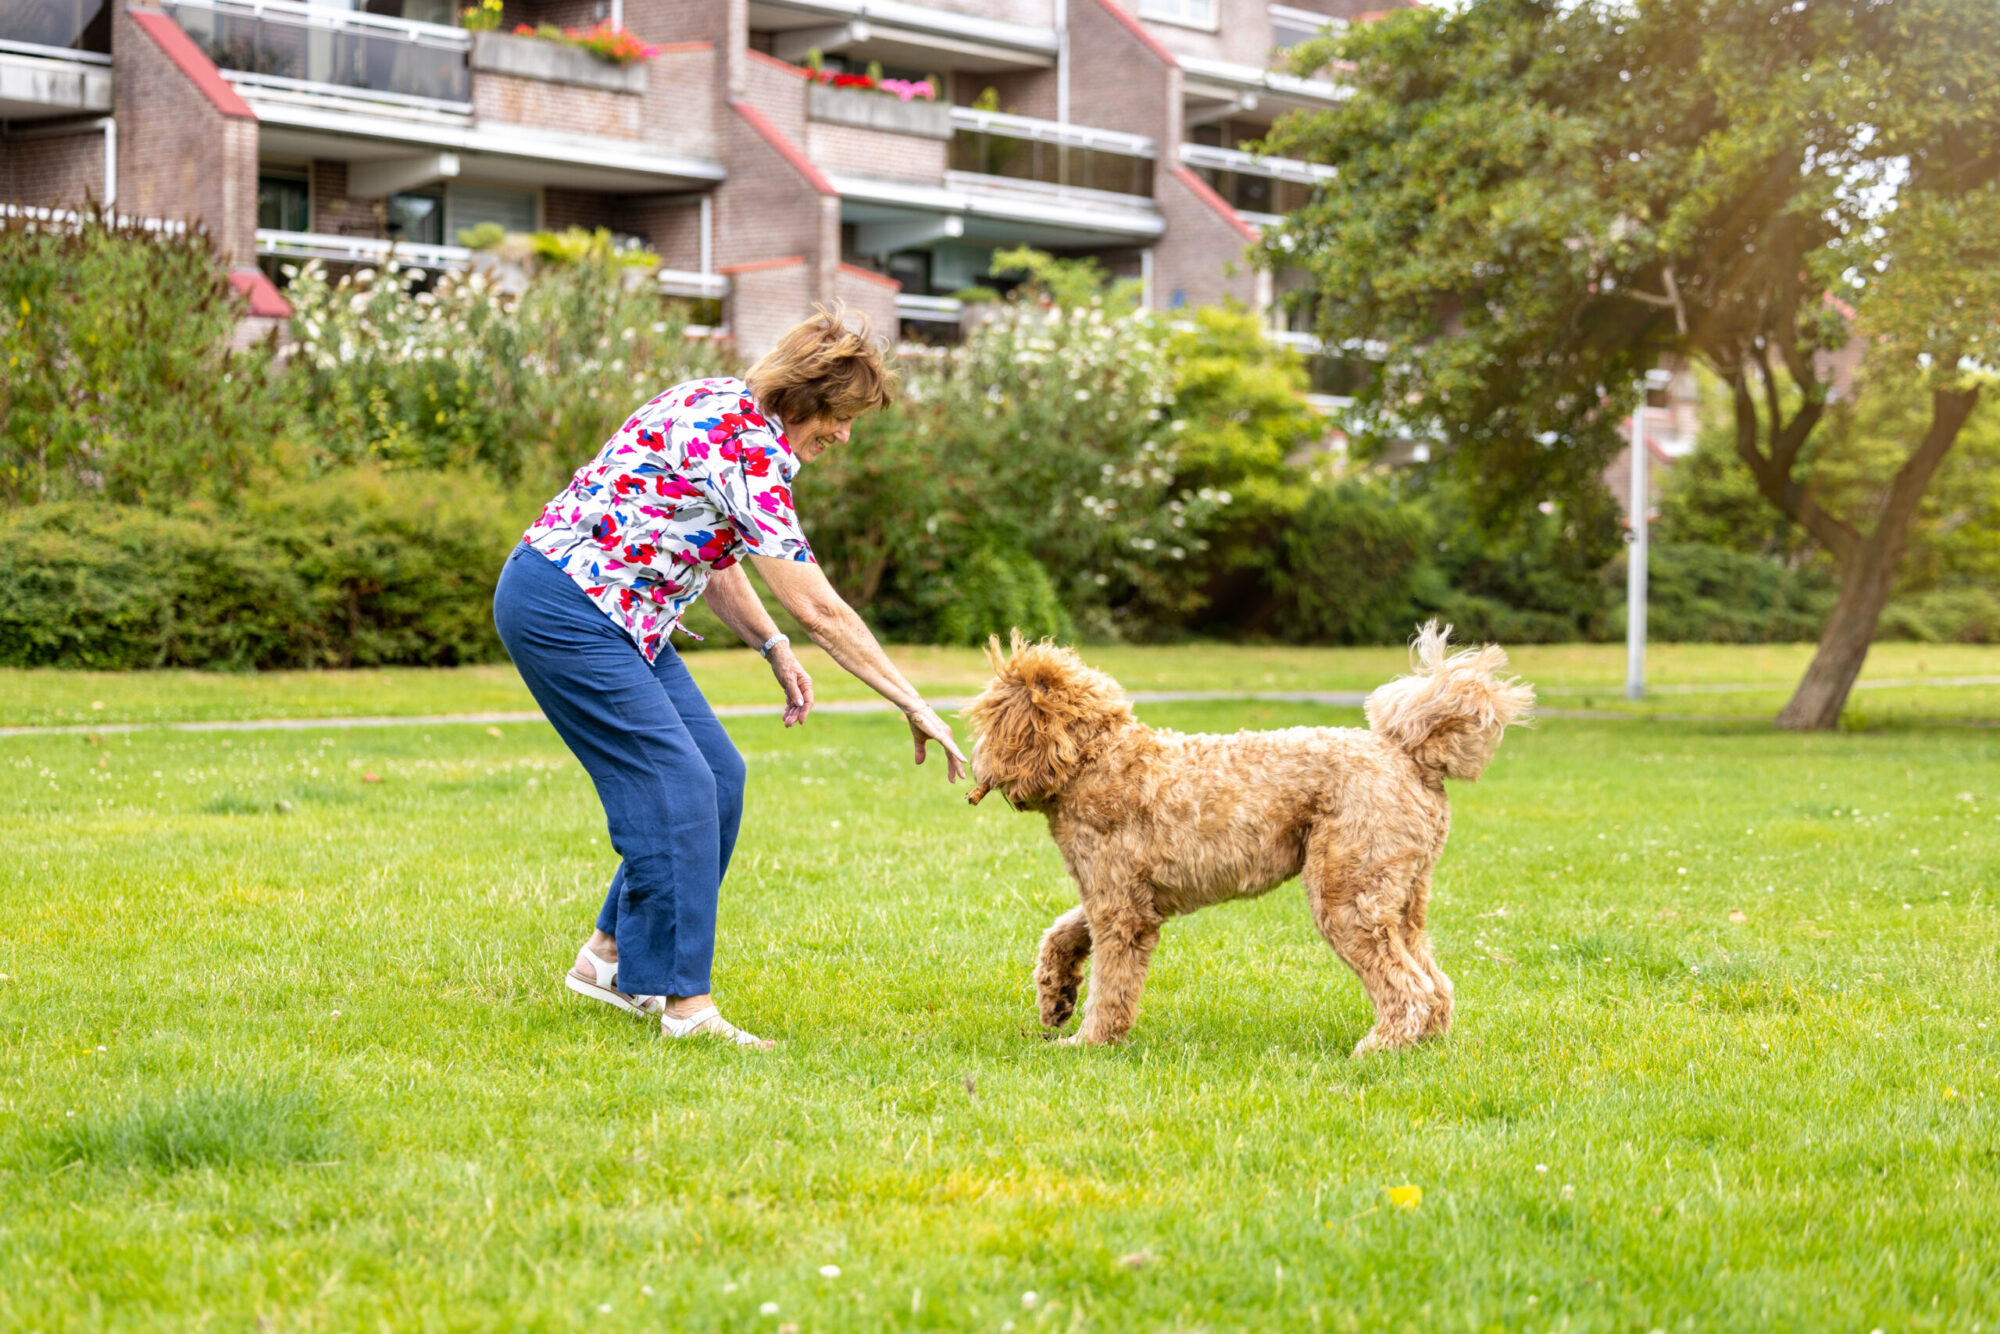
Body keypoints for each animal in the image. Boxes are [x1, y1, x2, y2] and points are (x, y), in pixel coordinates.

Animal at [964, 628, 1528, 1056]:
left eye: (989, 715)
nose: (974, 763)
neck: (1096, 758)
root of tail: (1411, 752)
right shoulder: (1117, 897)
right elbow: (1061, 933)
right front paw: (1056, 997)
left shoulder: (1121, 909)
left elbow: (1112, 985)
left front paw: (1090, 1041)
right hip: (1401, 893)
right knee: (1434, 982)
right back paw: (1425, 1042)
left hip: (1347, 892)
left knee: (1408, 987)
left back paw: (1381, 1046)